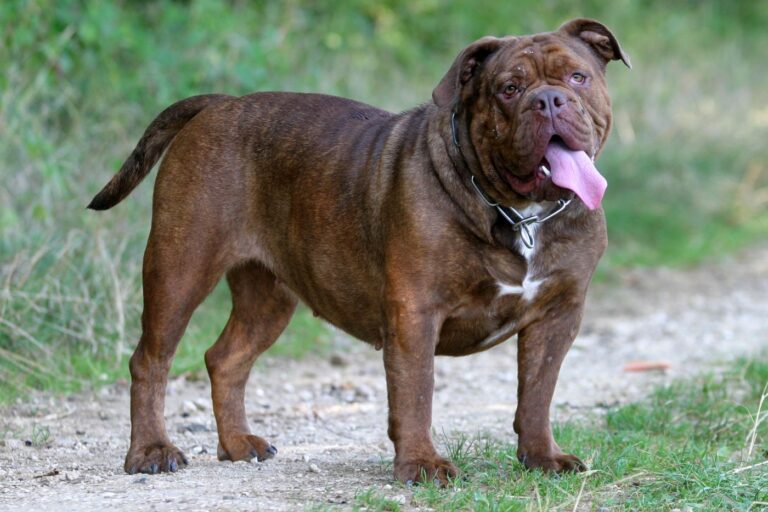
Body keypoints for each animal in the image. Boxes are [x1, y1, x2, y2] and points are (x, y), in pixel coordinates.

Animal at [90, 19, 632, 484]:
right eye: (509, 89)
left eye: (578, 76)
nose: (549, 99)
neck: (520, 213)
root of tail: (218, 105)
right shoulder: (416, 312)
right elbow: (416, 393)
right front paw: (421, 464)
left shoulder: (557, 316)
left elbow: (537, 395)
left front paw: (542, 457)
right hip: (180, 268)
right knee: (150, 361)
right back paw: (150, 452)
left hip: (269, 298)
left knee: (226, 358)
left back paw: (238, 444)